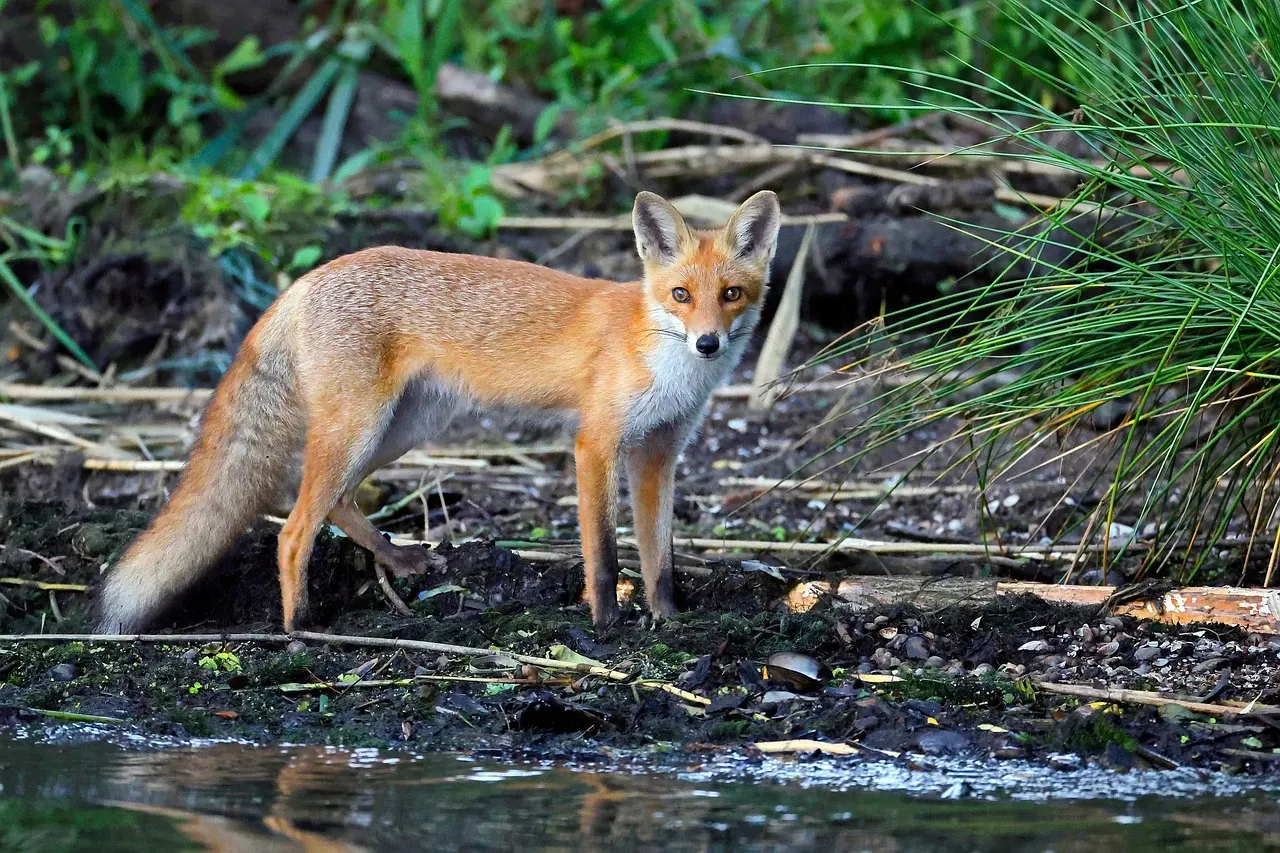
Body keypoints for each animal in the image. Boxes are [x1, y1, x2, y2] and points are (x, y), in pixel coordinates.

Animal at [95, 189, 781, 634]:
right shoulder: (596, 445)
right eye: (680, 295)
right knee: (292, 529)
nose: (708, 343)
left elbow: (660, 557)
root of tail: (306, 279)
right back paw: (300, 630)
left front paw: (668, 620)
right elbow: (605, 555)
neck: (664, 361)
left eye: (731, 295)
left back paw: (396, 562)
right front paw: (607, 624)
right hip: (359, 428)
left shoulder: (658, 455)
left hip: (399, 430)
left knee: (332, 501)